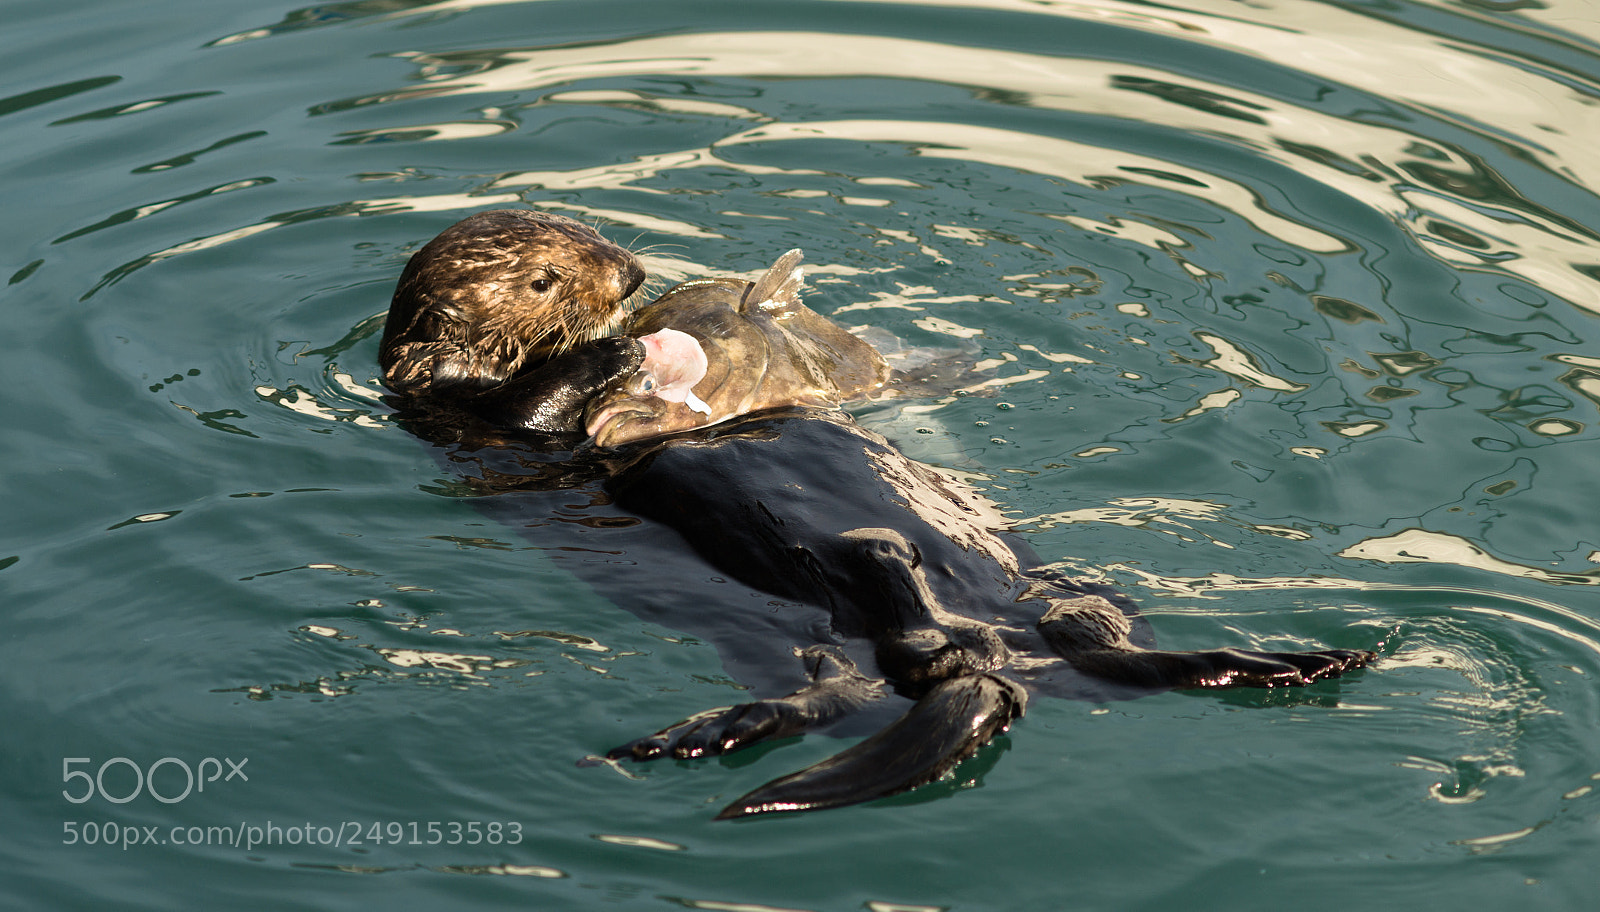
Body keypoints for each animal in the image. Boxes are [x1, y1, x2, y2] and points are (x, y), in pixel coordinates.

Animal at [381, 210, 1376, 819]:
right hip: (809, 635)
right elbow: (536, 415)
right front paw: (618, 356)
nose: (630, 276)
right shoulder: (470, 422)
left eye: (586, 230)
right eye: (547, 279)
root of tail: (997, 661)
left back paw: (1304, 660)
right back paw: (700, 728)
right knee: (849, 682)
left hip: (1065, 597)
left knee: (1098, 650)